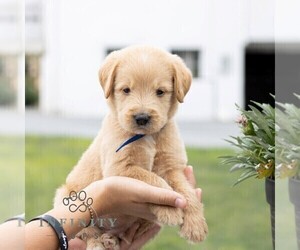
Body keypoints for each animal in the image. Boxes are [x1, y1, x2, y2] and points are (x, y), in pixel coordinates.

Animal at [54, 46, 207, 249]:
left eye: (160, 92)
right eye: (126, 90)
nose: (141, 118)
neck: (147, 137)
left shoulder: (172, 167)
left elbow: (187, 191)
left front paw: (196, 225)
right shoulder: (121, 167)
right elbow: (155, 181)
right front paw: (170, 209)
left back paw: (112, 240)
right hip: (66, 198)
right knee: (88, 232)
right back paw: (99, 243)